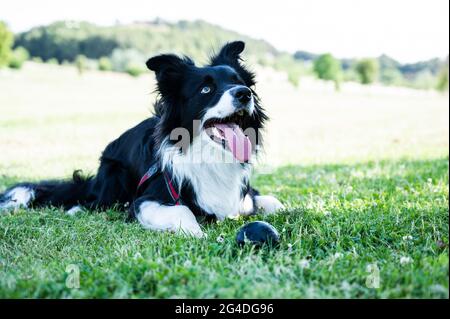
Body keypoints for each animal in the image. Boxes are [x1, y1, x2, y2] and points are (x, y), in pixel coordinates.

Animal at [0, 41, 284, 238]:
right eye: (206, 89)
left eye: (239, 82)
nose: (244, 93)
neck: (208, 158)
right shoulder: (146, 199)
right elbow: (182, 210)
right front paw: (198, 234)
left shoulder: (243, 195)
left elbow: (272, 201)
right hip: (114, 175)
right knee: (92, 200)